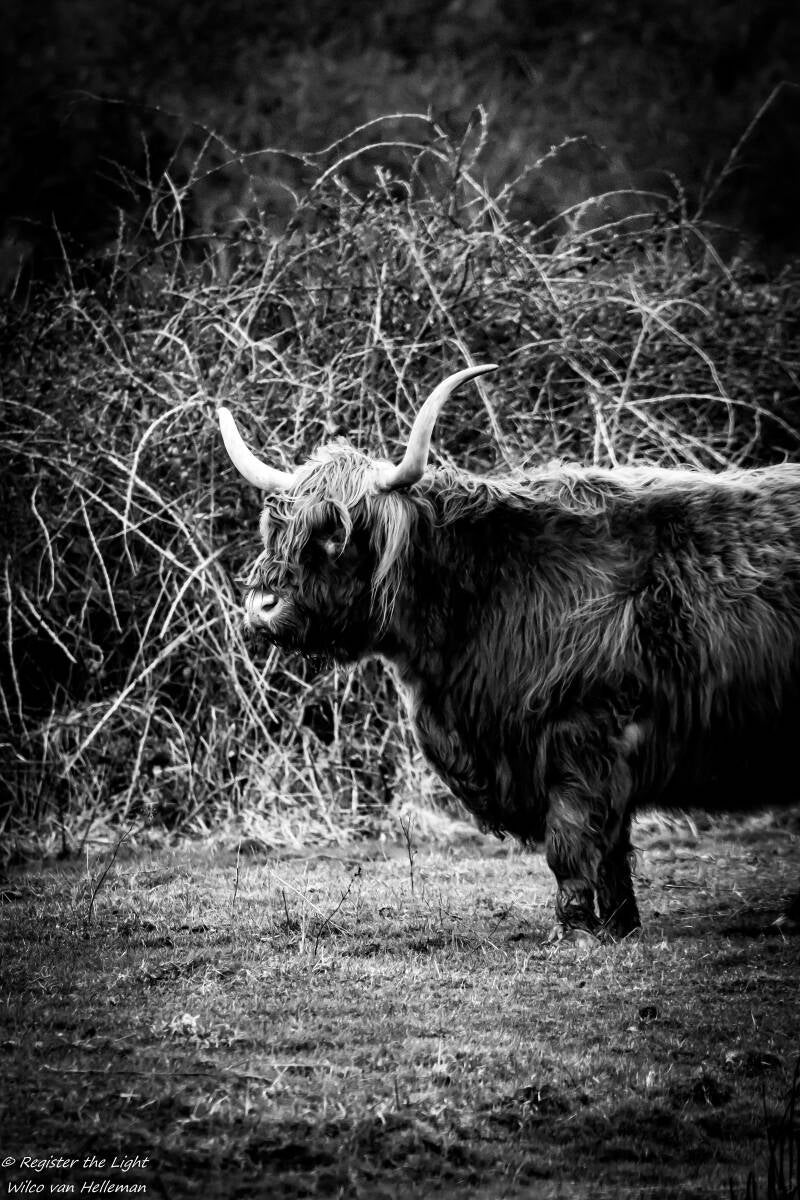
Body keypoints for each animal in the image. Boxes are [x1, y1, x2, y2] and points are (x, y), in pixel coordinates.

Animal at [218, 364, 800, 939]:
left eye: (335, 535)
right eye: (276, 529)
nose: (261, 605)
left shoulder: (584, 728)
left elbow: (572, 838)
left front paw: (575, 929)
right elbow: (611, 845)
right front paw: (620, 926)